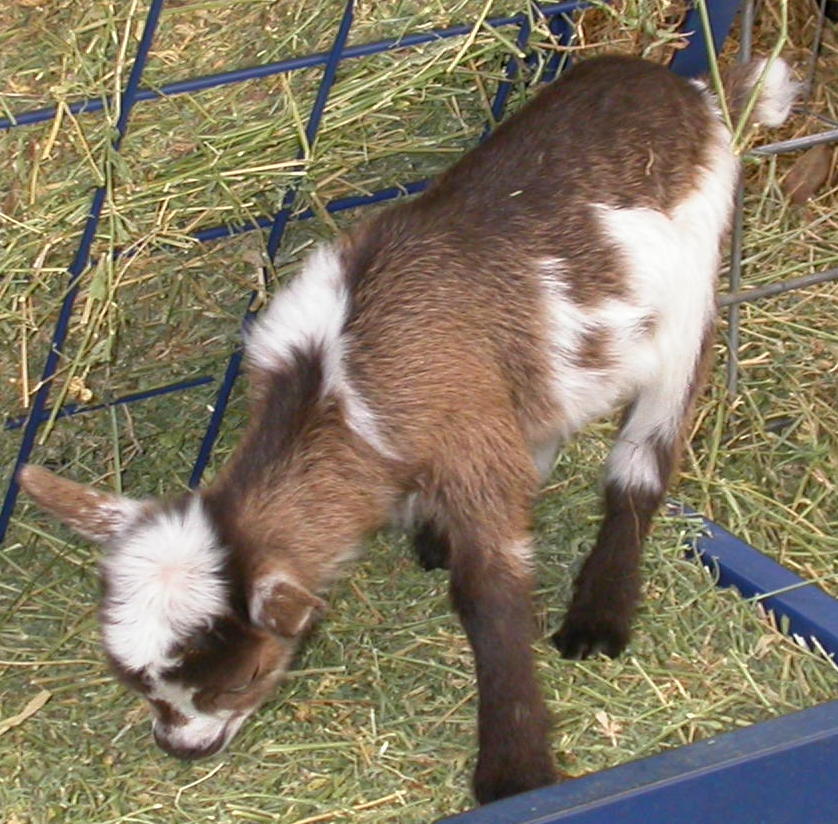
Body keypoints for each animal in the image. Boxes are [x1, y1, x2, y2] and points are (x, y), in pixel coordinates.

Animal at [19, 55, 797, 804]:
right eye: (136, 683)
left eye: (243, 678)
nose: (183, 748)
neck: (332, 386)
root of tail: (695, 92)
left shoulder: (467, 443)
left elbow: (489, 594)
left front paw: (515, 770)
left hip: (694, 289)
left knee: (642, 460)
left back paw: (598, 616)